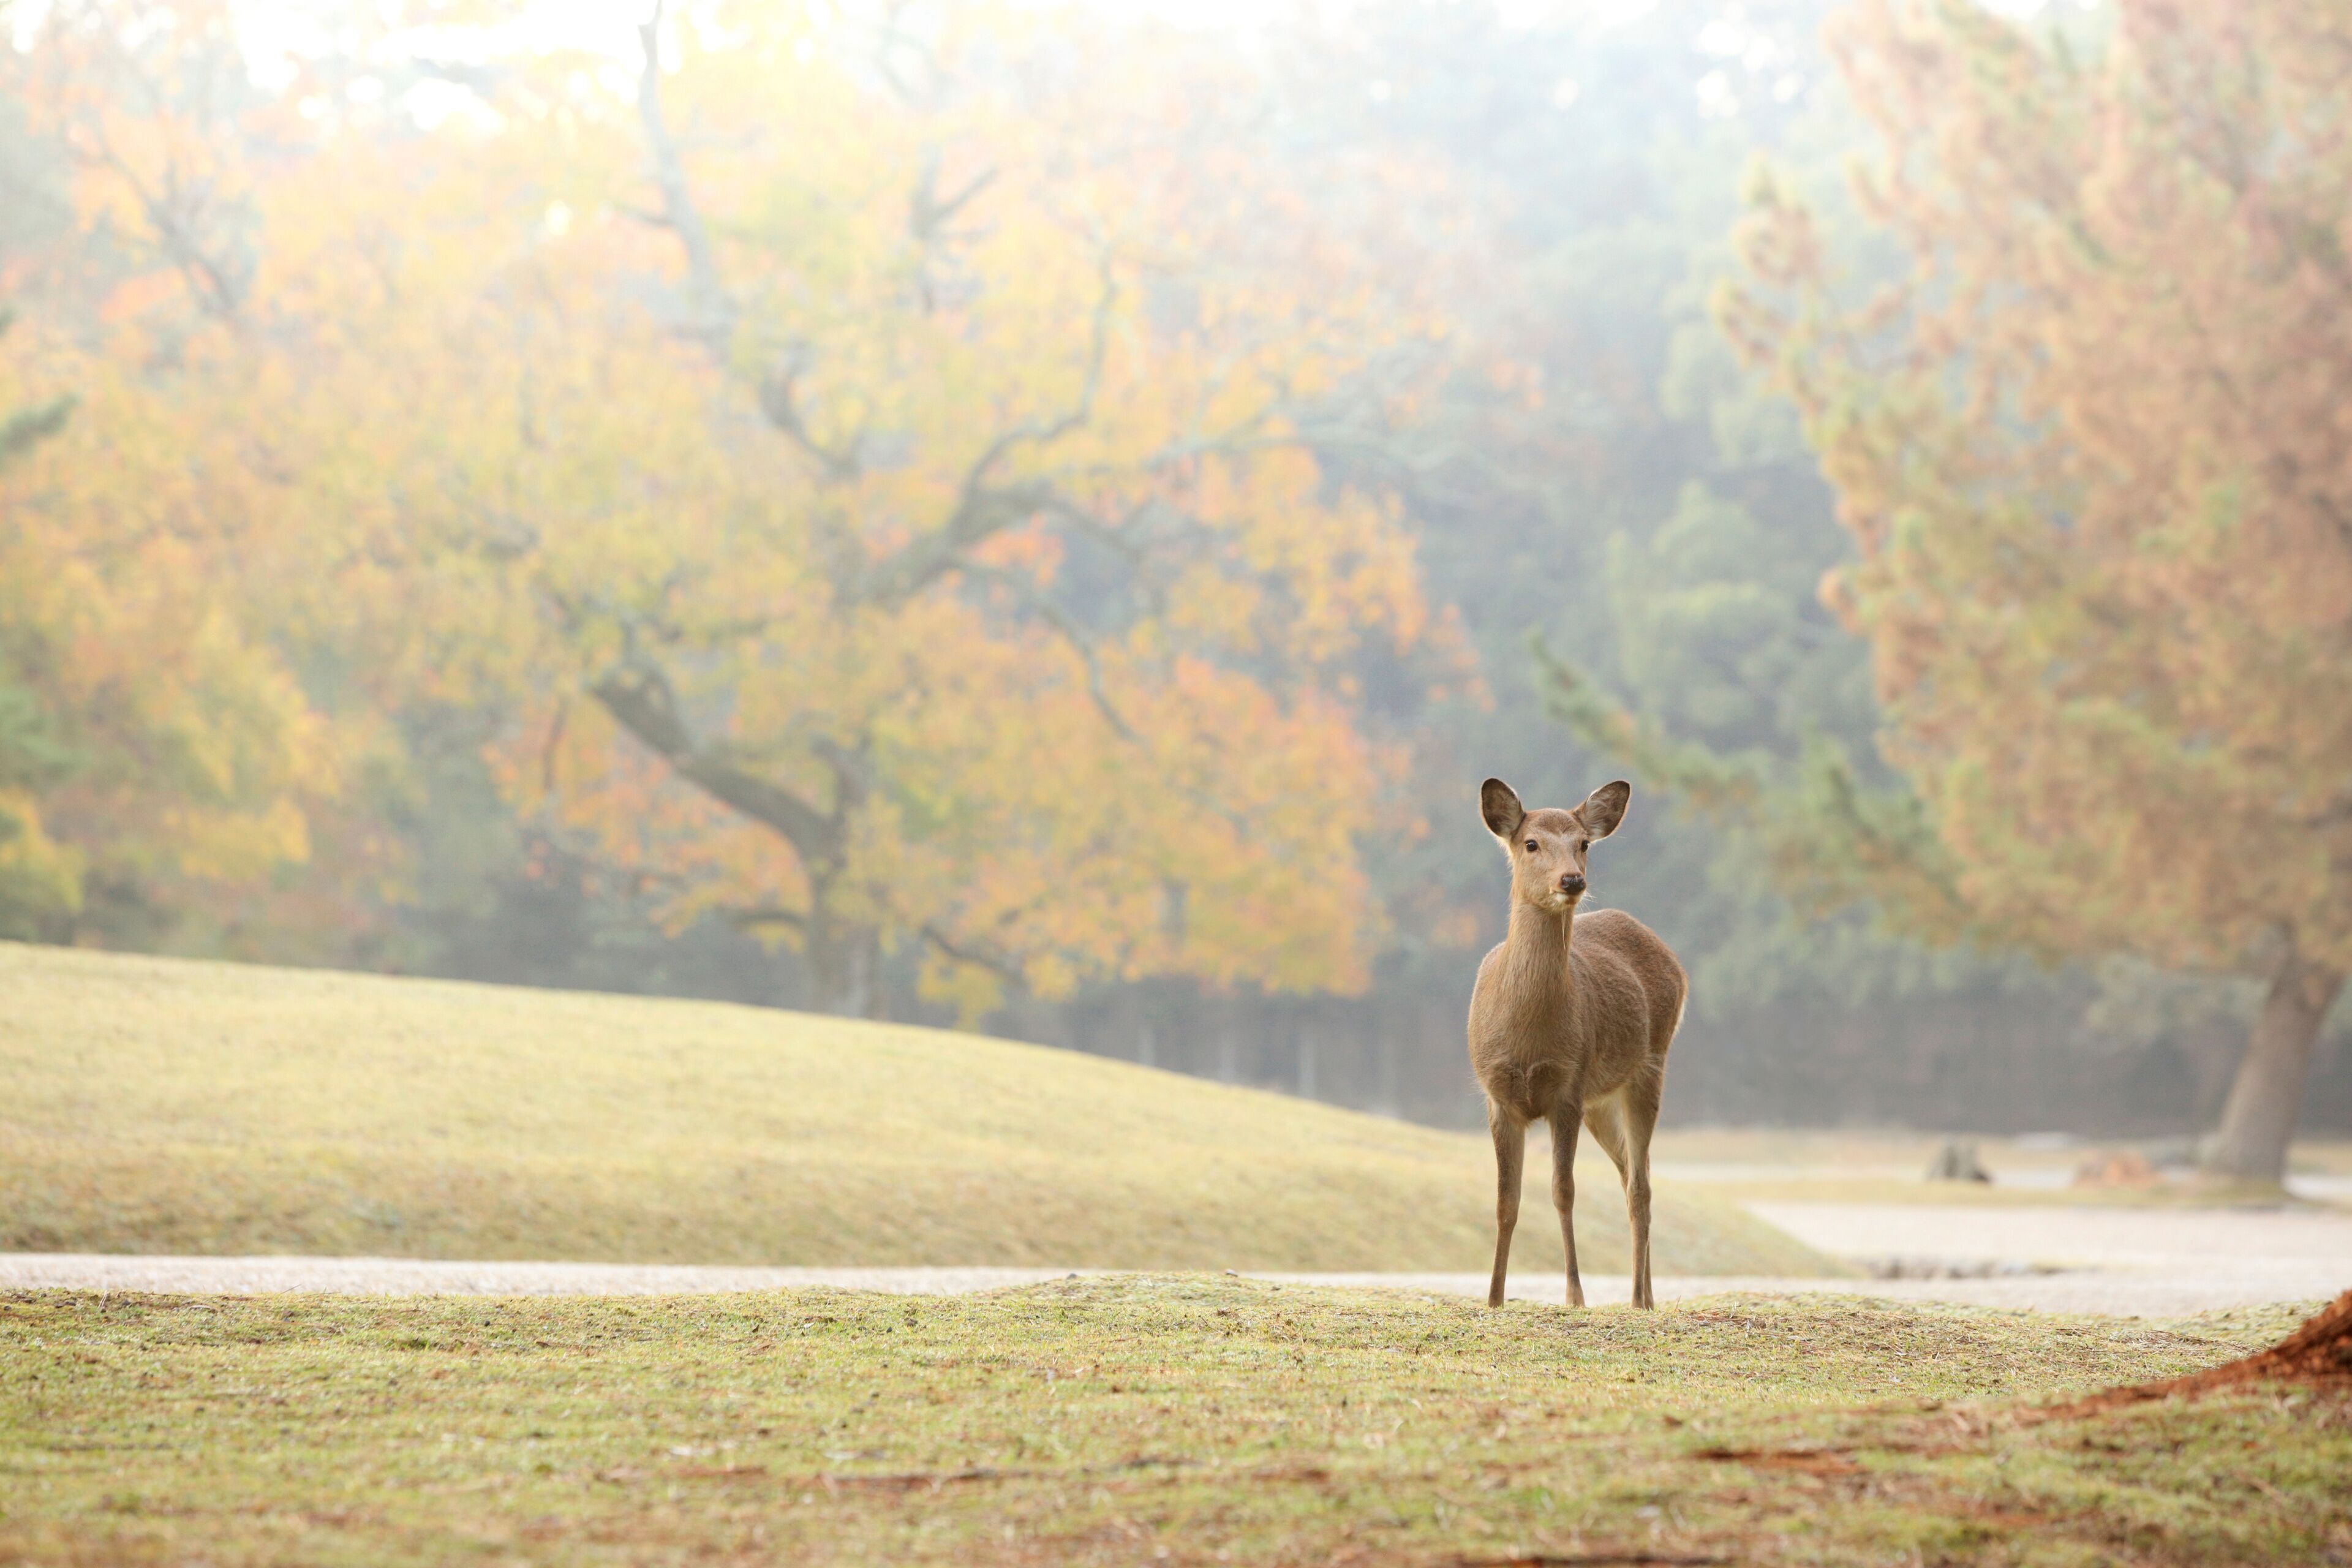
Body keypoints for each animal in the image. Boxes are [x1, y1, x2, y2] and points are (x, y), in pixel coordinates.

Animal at [1468, 777, 1685, 1310]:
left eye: (1583, 843)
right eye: (1530, 843)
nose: (1571, 881)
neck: (1528, 1039)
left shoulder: (1567, 1086)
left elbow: (1562, 1190)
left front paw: (1575, 1295)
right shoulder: (1497, 1094)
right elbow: (1506, 1200)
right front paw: (1494, 1296)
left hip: (1650, 1065)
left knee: (1641, 1186)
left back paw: (1639, 1299)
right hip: (1600, 1102)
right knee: (1631, 1171)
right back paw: (1648, 1294)